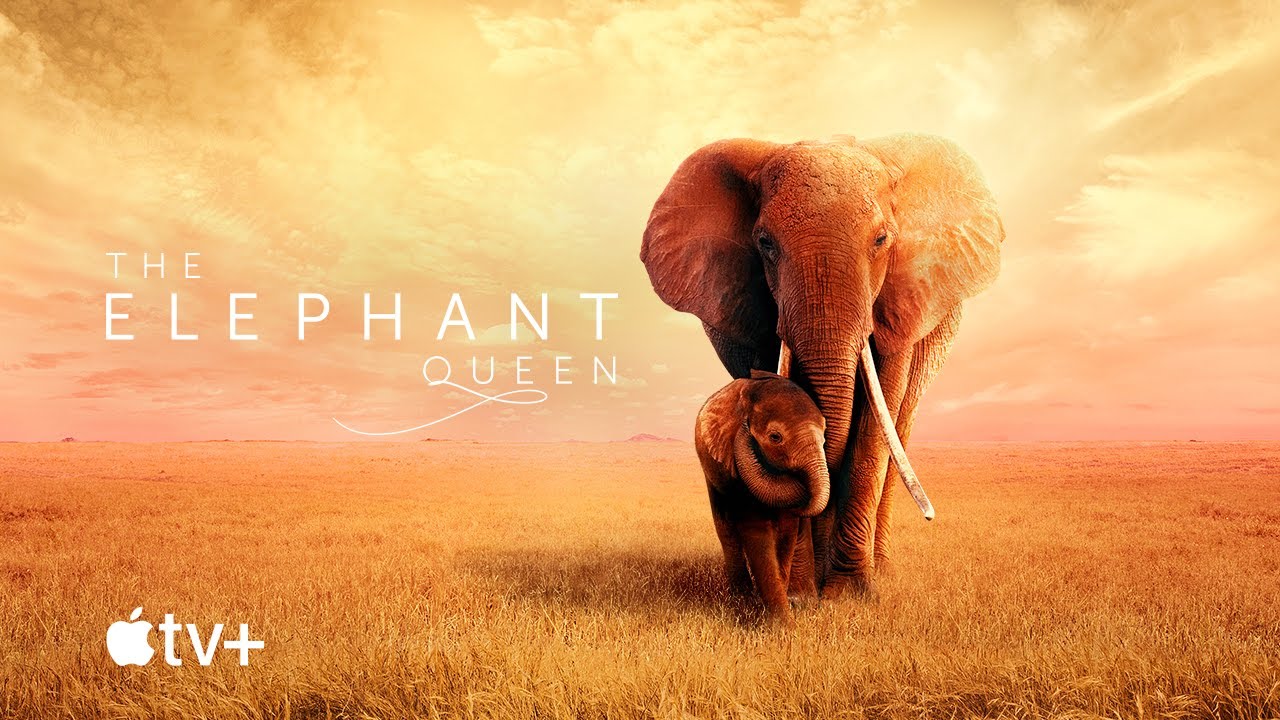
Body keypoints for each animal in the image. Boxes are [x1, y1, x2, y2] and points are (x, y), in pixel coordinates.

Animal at [694, 370, 829, 623]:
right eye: (775, 437)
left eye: (824, 437)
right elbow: (756, 529)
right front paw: (780, 624)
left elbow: (787, 531)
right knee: (726, 531)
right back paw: (741, 598)